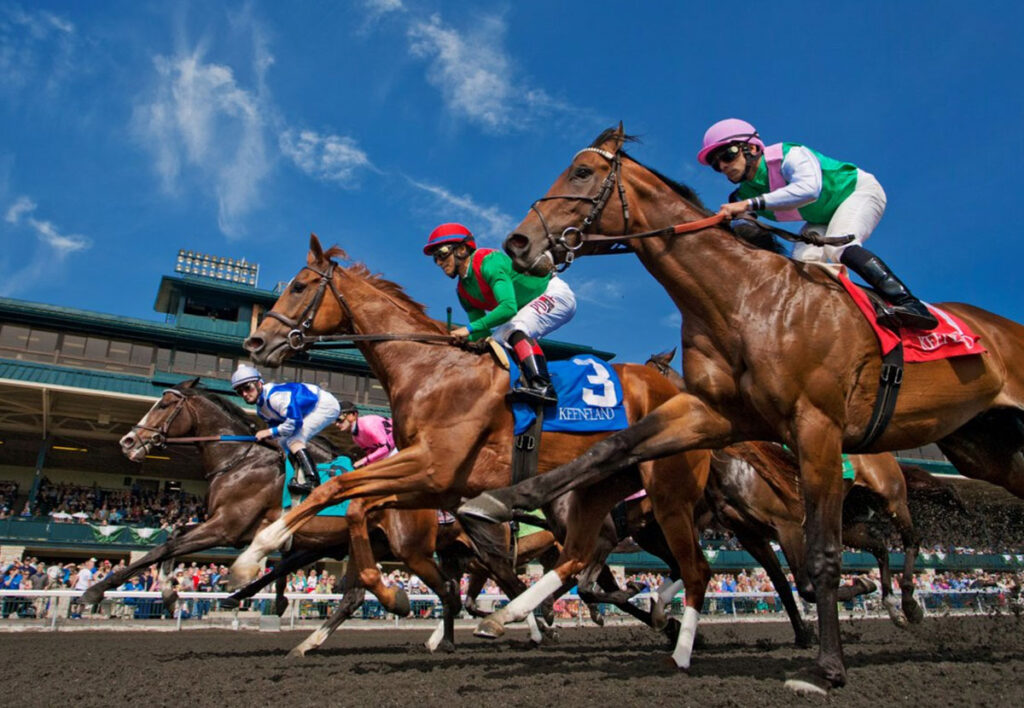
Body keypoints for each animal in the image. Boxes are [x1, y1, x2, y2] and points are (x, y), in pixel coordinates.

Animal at [228, 236, 716, 672]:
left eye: (299, 286)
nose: (255, 344)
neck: (429, 369)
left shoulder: (431, 467)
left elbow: (336, 488)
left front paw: (253, 553)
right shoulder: (434, 483)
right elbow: (355, 506)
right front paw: (391, 595)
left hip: (666, 494)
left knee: (689, 566)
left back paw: (671, 636)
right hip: (598, 491)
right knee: (584, 561)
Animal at [460, 121, 1024, 692]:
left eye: (581, 172)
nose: (517, 242)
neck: (746, 298)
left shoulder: (815, 429)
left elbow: (821, 558)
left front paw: (827, 668)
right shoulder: (713, 414)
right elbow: (612, 449)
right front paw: (497, 503)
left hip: (903, 479)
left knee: (904, 531)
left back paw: (903, 604)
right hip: (984, 448)